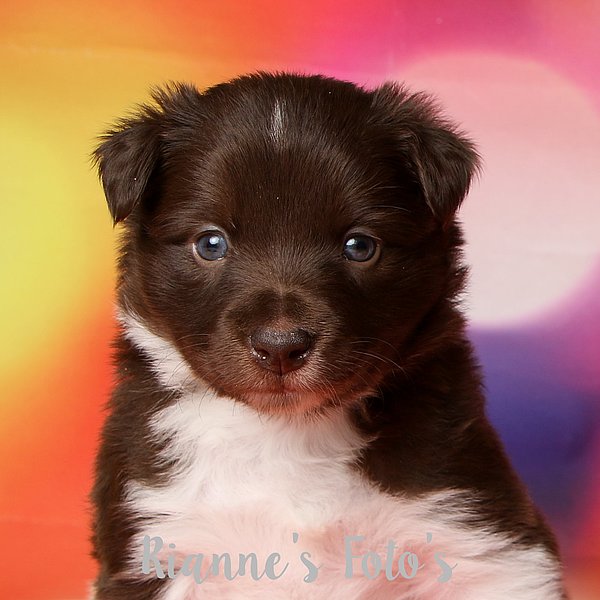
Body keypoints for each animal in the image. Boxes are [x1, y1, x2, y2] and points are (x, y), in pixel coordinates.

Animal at [91, 73, 566, 599]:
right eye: (210, 243)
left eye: (360, 245)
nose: (280, 347)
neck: (287, 434)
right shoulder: (158, 541)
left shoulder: (487, 547)